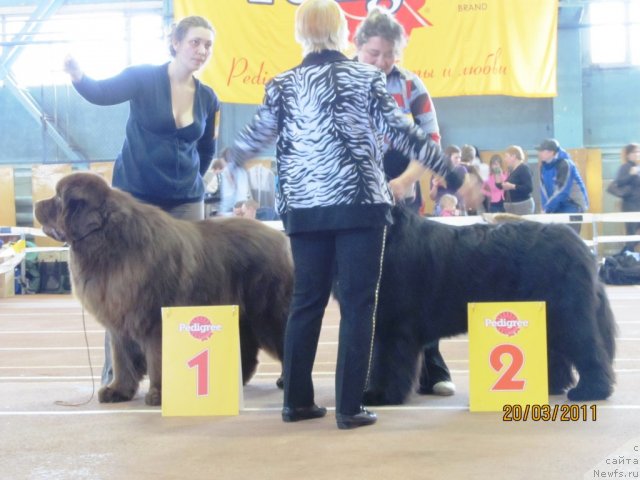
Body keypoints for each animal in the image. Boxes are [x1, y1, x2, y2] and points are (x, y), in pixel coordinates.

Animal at [35, 172, 292, 404]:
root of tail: (281, 239)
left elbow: (157, 360)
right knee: (246, 350)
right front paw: (118, 391)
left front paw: (159, 394)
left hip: (267, 313)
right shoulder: (120, 322)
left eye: (58, 198)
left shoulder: (154, 322)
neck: (109, 243)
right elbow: (122, 360)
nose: (37, 204)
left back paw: (284, 380)